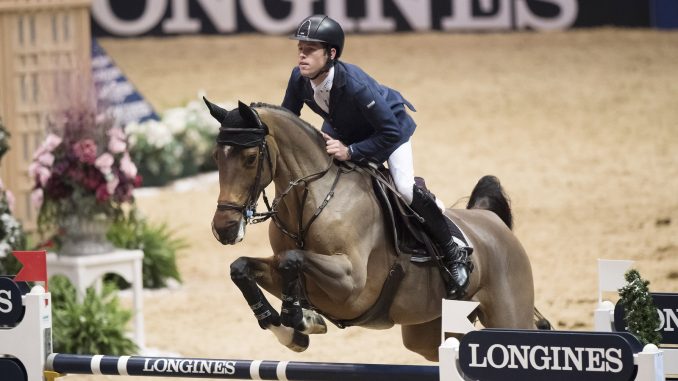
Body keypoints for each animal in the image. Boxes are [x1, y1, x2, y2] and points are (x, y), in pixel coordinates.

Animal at [205, 97, 540, 360]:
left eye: (250, 158)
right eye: (215, 157)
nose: (224, 229)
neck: (312, 199)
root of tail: (491, 219)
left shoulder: (351, 284)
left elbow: (292, 259)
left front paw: (298, 319)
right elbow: (241, 268)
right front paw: (291, 331)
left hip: (507, 314)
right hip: (428, 330)